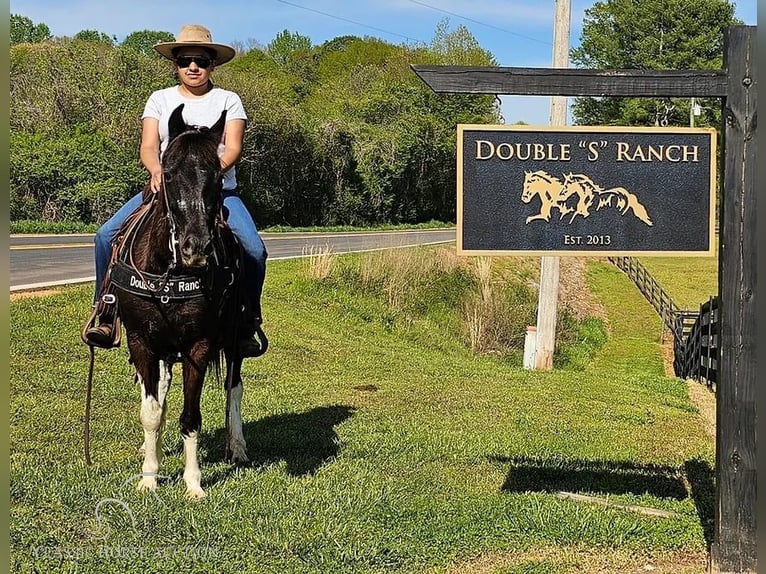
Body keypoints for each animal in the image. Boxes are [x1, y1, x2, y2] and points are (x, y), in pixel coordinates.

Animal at [111, 106, 250, 502]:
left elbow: (191, 417)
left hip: (235, 340)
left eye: (217, 175)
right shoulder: (141, 342)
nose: (196, 248)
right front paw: (149, 476)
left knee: (234, 387)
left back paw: (237, 447)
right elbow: (152, 411)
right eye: (169, 173)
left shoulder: (198, 345)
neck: (168, 273)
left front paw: (193, 483)